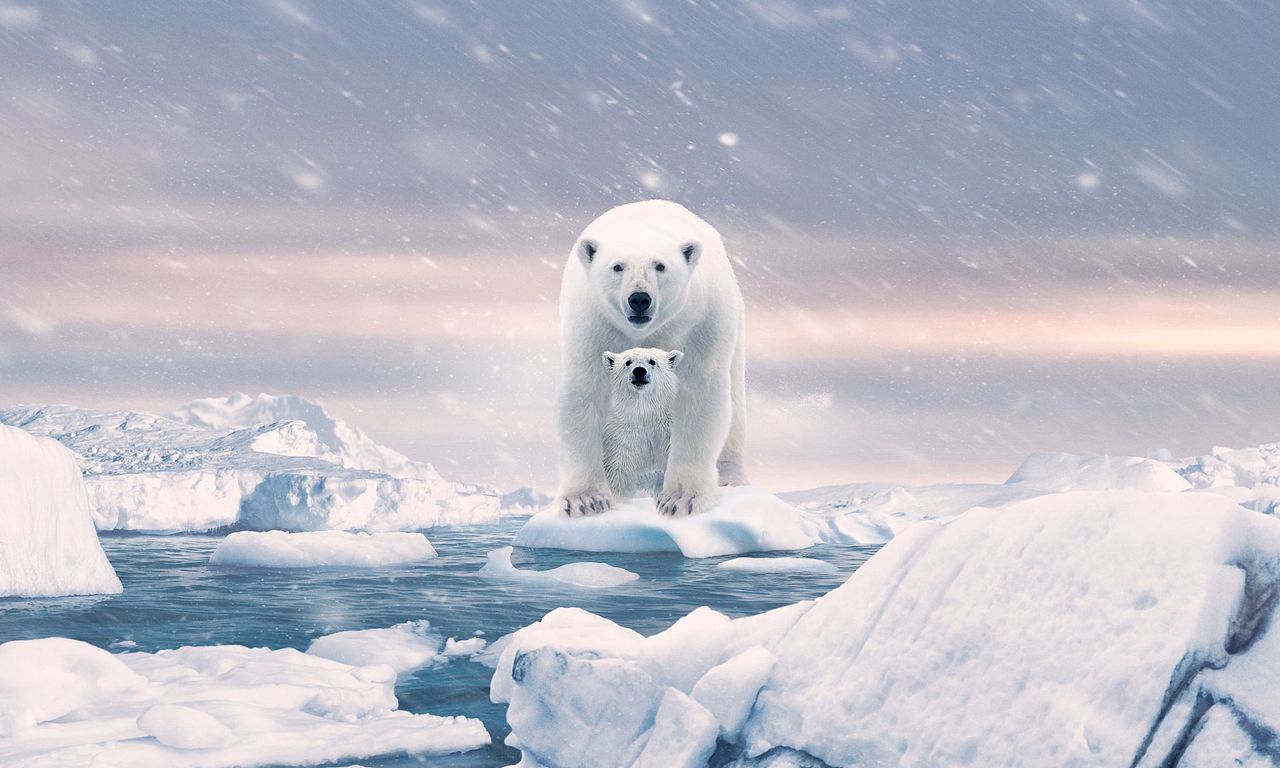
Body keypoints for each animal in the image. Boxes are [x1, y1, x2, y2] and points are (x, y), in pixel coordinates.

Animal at [601, 347, 683, 500]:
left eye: (652, 361)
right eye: (628, 362)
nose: (639, 371)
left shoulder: (667, 433)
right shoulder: (621, 437)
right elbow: (619, 473)